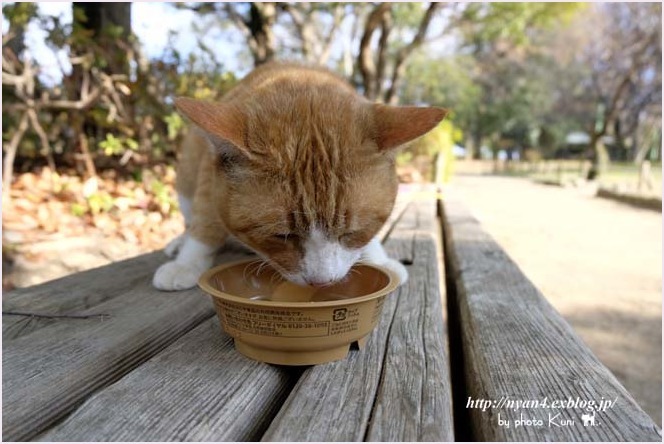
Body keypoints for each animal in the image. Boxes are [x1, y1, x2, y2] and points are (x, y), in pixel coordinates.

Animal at [154, 62, 446, 292]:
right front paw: (187, 262)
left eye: (351, 232)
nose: (322, 282)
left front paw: (377, 257)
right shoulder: (208, 173)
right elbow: (206, 222)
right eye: (281, 236)